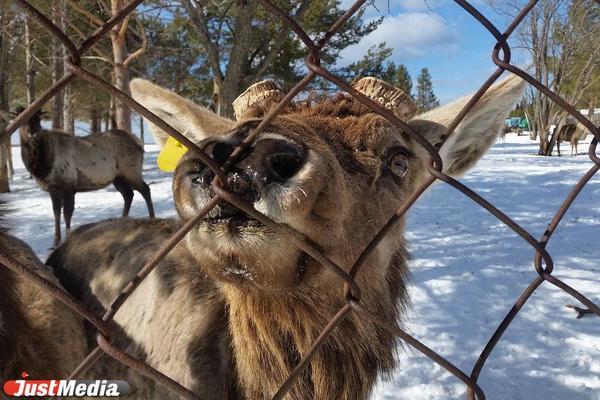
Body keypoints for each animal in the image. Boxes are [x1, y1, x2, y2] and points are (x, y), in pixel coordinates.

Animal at [17, 107, 156, 247]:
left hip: (131, 172)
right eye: (22, 119)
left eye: (38, 118)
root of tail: (139, 143)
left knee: (145, 190)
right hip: (118, 178)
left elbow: (67, 214)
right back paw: (123, 219)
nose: (32, 134)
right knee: (129, 194)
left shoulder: (69, 184)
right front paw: (55, 241)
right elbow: (56, 213)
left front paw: (67, 238)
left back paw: (152, 217)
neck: (42, 166)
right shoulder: (53, 188)